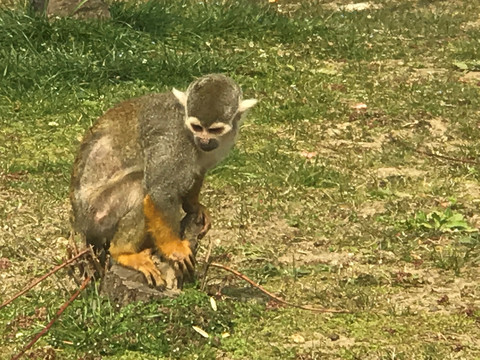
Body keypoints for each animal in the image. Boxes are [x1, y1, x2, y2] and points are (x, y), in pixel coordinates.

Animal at [69, 74, 256, 286]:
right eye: (197, 127)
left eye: (214, 130)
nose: (204, 140)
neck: (185, 125)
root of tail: (80, 224)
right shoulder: (173, 139)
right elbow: (160, 191)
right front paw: (174, 248)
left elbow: (197, 171)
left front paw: (194, 206)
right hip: (98, 214)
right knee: (140, 186)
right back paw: (123, 253)